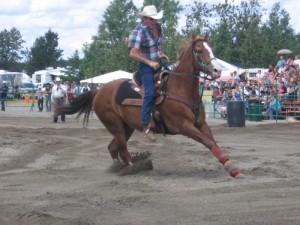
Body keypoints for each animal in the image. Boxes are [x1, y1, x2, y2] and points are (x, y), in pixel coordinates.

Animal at [59, 33, 244, 178]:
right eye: (199, 50)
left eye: (211, 49)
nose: (217, 71)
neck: (179, 88)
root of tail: (98, 91)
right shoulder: (184, 126)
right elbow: (208, 142)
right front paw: (231, 167)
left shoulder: (201, 124)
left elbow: (213, 142)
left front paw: (230, 166)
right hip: (115, 125)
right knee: (122, 148)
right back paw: (132, 168)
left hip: (127, 127)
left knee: (113, 148)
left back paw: (119, 167)